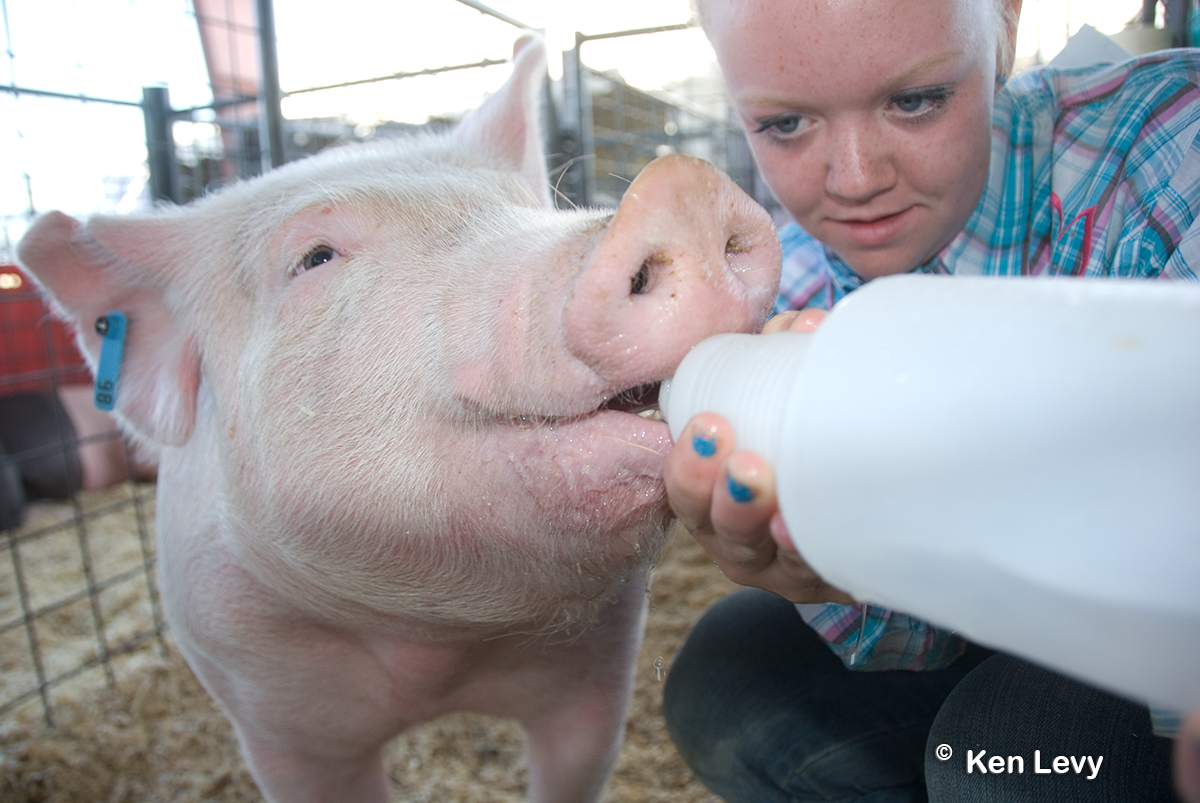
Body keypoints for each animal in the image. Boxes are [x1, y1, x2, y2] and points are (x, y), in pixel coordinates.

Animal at [16, 34, 779, 803]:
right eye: (314, 258)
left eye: (524, 205)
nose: (681, 187)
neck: (434, 651)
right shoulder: (273, 717)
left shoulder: (600, 674)